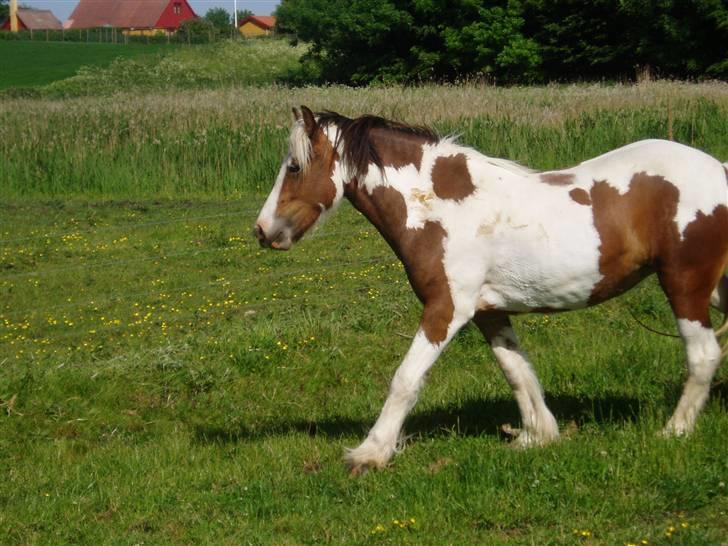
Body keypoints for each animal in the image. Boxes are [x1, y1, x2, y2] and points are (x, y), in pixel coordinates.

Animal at [255, 106, 728, 472]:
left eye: (294, 167)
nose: (262, 230)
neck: (440, 209)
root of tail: (718, 170)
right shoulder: (487, 311)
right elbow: (516, 371)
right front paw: (537, 436)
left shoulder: (446, 309)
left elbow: (405, 379)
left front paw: (370, 453)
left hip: (685, 283)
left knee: (703, 355)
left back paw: (673, 431)